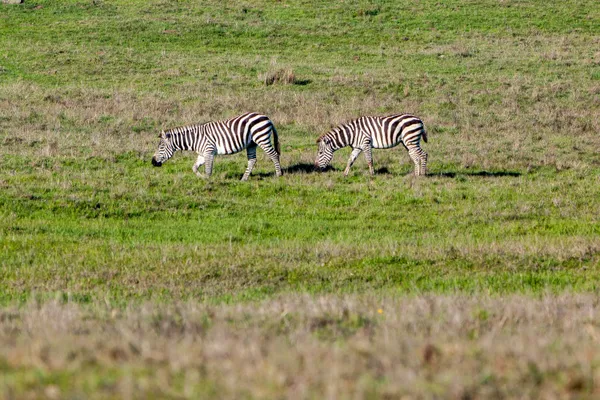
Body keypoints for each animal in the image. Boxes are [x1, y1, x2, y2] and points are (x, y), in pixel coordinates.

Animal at [150, 112, 282, 181]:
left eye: (161, 148)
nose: (152, 162)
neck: (195, 139)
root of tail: (266, 117)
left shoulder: (209, 151)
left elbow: (208, 170)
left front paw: (208, 182)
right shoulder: (202, 154)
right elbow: (194, 168)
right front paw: (202, 178)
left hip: (262, 138)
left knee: (274, 154)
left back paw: (279, 174)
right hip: (251, 143)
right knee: (252, 160)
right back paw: (244, 179)